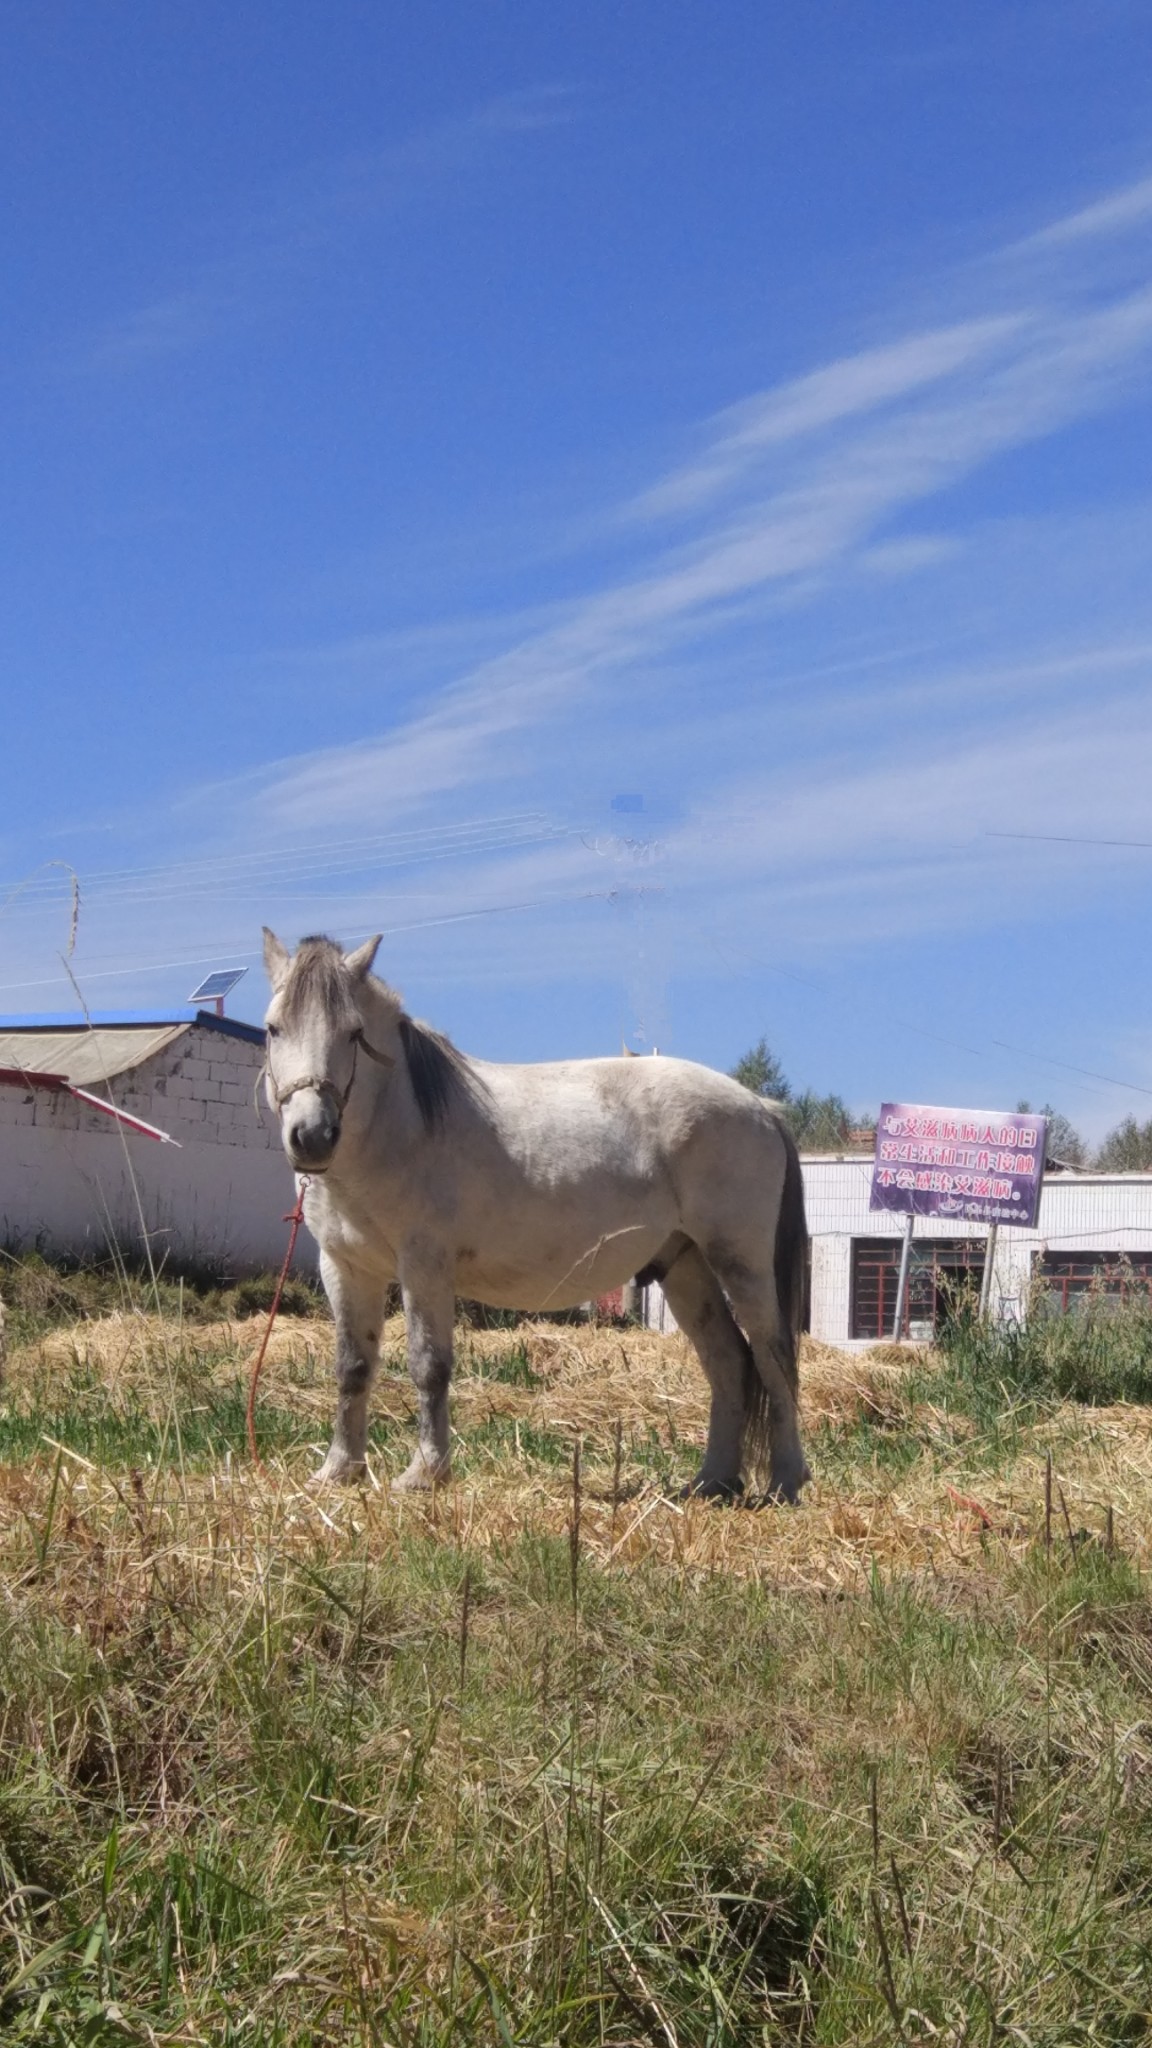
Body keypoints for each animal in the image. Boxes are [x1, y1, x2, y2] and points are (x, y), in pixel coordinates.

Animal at [260, 937, 807, 1499]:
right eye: (274, 1028)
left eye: (354, 1032)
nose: (312, 1136)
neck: (397, 1129)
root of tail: (760, 1106)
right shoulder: (346, 1269)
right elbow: (352, 1367)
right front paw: (337, 1470)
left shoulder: (424, 1268)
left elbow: (428, 1366)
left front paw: (425, 1472)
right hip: (686, 1266)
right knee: (727, 1360)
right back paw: (712, 1482)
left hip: (740, 1261)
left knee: (774, 1356)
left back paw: (786, 1481)